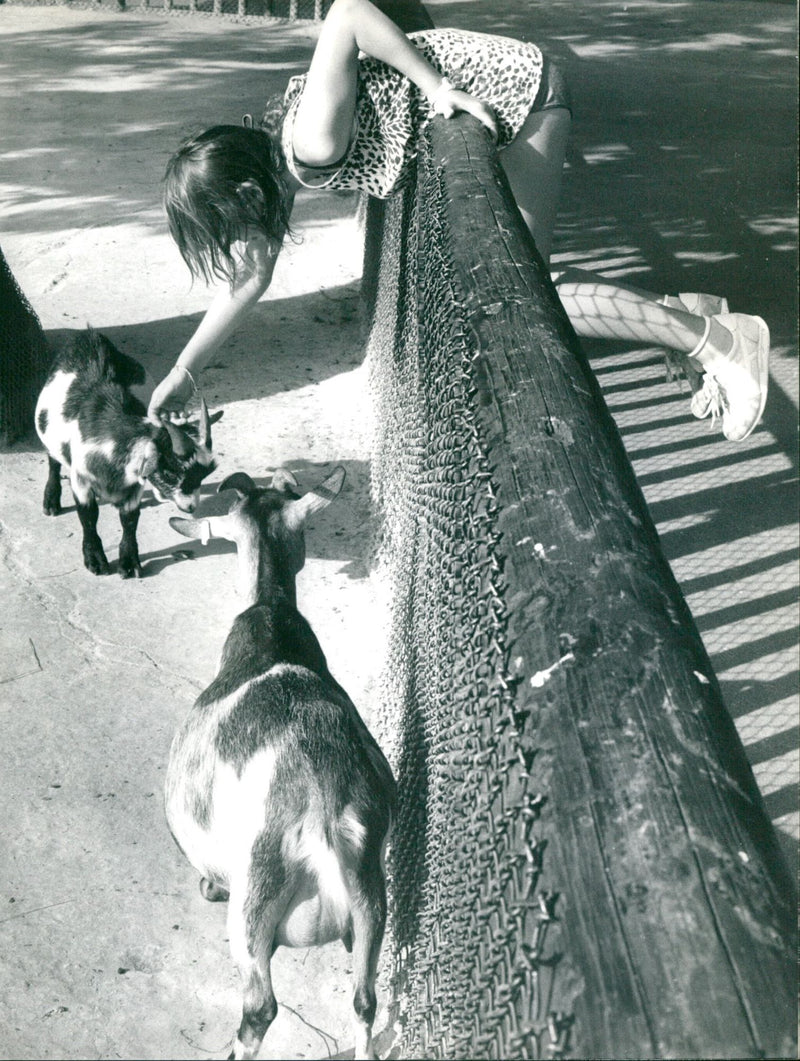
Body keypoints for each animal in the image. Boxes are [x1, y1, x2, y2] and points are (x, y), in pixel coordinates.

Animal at [35, 328, 221, 578]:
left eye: (202, 476)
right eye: (170, 473)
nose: (190, 507)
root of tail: (90, 336)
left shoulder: (134, 486)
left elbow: (130, 520)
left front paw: (130, 562)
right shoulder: (81, 478)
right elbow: (88, 516)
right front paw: (95, 559)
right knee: (53, 462)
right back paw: (51, 501)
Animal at [166, 466, 396, 1061]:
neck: (272, 632)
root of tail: (322, 819)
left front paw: (206, 887)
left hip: (254, 899)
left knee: (259, 1009)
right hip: (371, 897)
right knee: (364, 999)